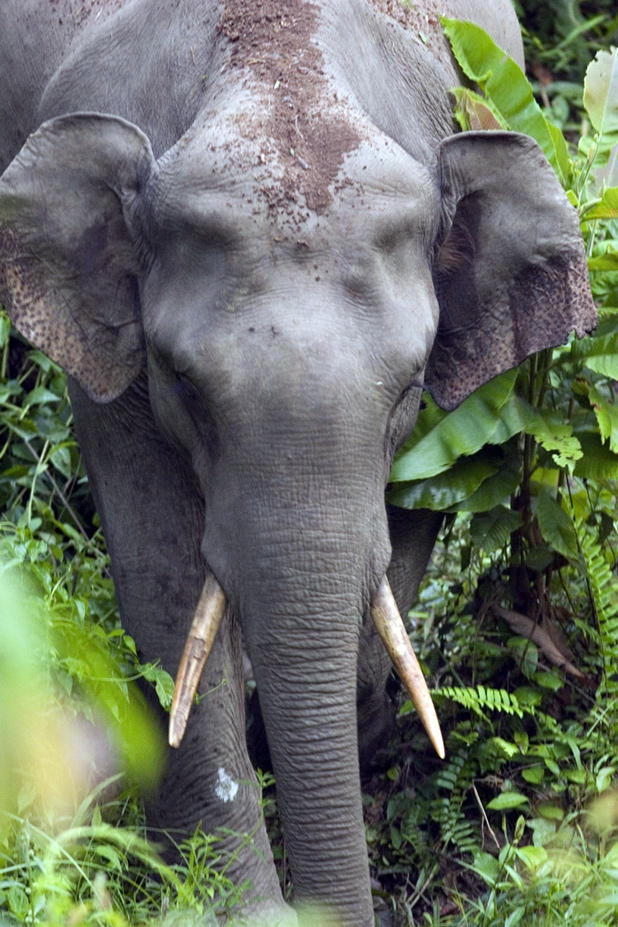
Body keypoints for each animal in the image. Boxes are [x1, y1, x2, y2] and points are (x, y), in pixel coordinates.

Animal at [0, 1, 596, 927]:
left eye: (409, 385)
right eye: (184, 383)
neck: (278, 73)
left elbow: (404, 527)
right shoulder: (112, 366)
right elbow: (162, 575)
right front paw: (239, 900)